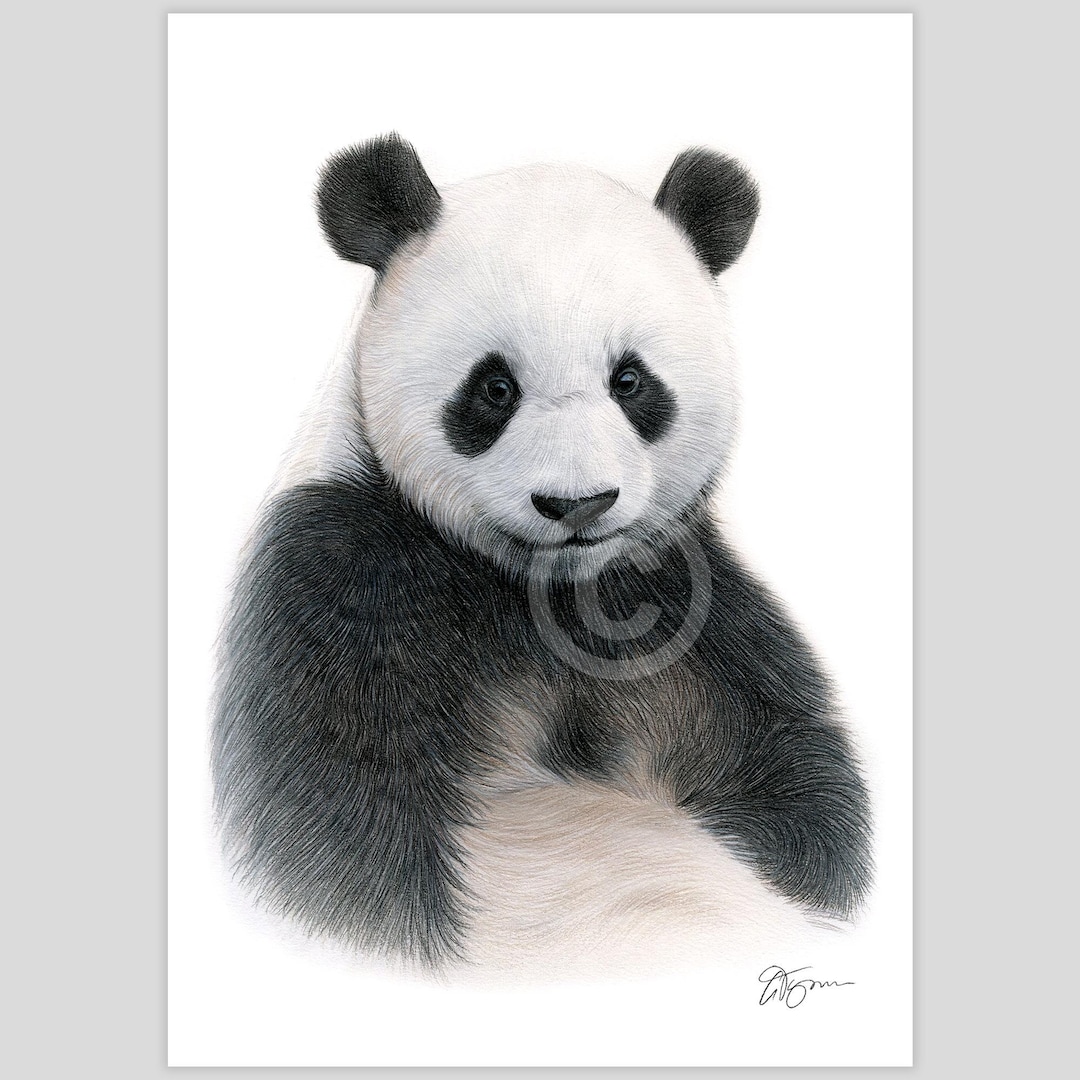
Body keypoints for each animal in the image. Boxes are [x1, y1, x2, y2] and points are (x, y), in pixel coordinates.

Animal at [213, 133, 872, 977]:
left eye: (631, 381)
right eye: (494, 388)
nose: (577, 504)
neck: (541, 590)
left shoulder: (680, 606)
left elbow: (789, 777)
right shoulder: (339, 578)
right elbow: (334, 831)